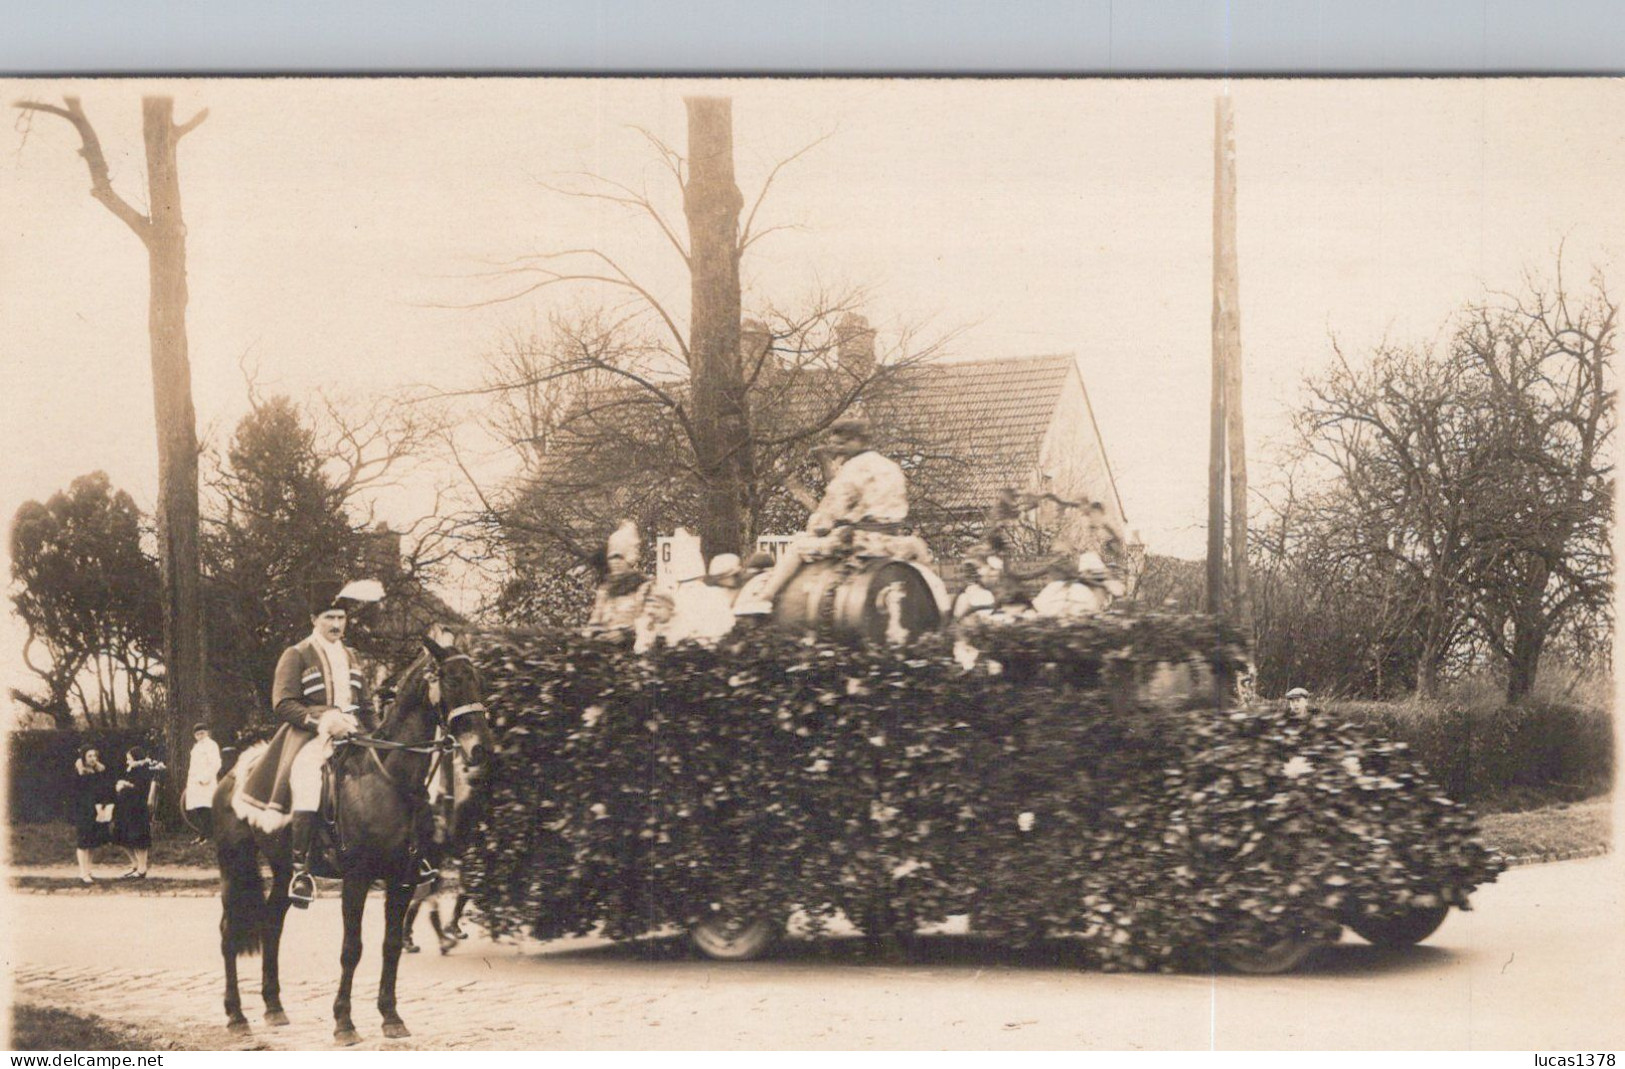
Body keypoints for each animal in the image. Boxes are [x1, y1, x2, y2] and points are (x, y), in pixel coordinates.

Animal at [209, 633, 490, 1039]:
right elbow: (352, 949)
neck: (390, 780)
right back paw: (236, 1015)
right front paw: (344, 1021)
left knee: (272, 924)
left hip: (283, 869)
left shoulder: (403, 879)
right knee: (229, 931)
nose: (481, 748)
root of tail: (233, 774)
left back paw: (274, 1007)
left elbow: (391, 945)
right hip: (233, 863)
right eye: (452, 680)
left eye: (478, 680)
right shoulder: (357, 878)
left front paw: (391, 1016)